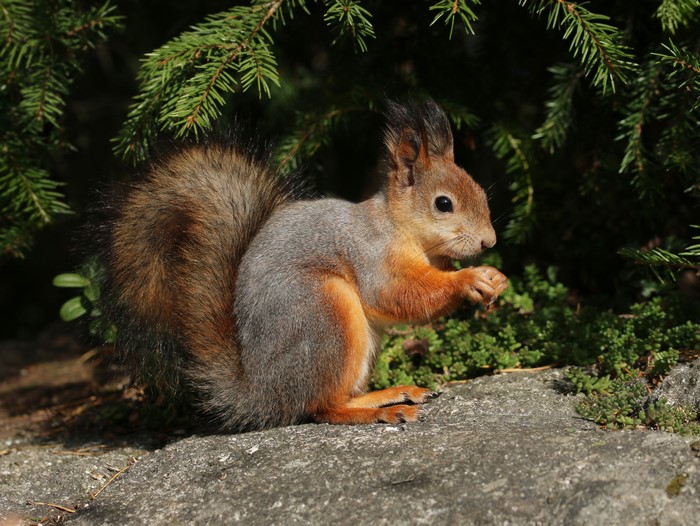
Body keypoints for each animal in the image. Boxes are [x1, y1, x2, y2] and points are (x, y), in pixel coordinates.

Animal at [105, 99, 508, 431]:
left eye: (480, 190)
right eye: (443, 204)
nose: (489, 242)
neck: (402, 229)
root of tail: (261, 391)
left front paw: (496, 279)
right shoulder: (372, 256)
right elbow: (397, 296)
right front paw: (469, 280)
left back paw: (389, 394)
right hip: (324, 313)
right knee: (321, 407)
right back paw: (382, 411)